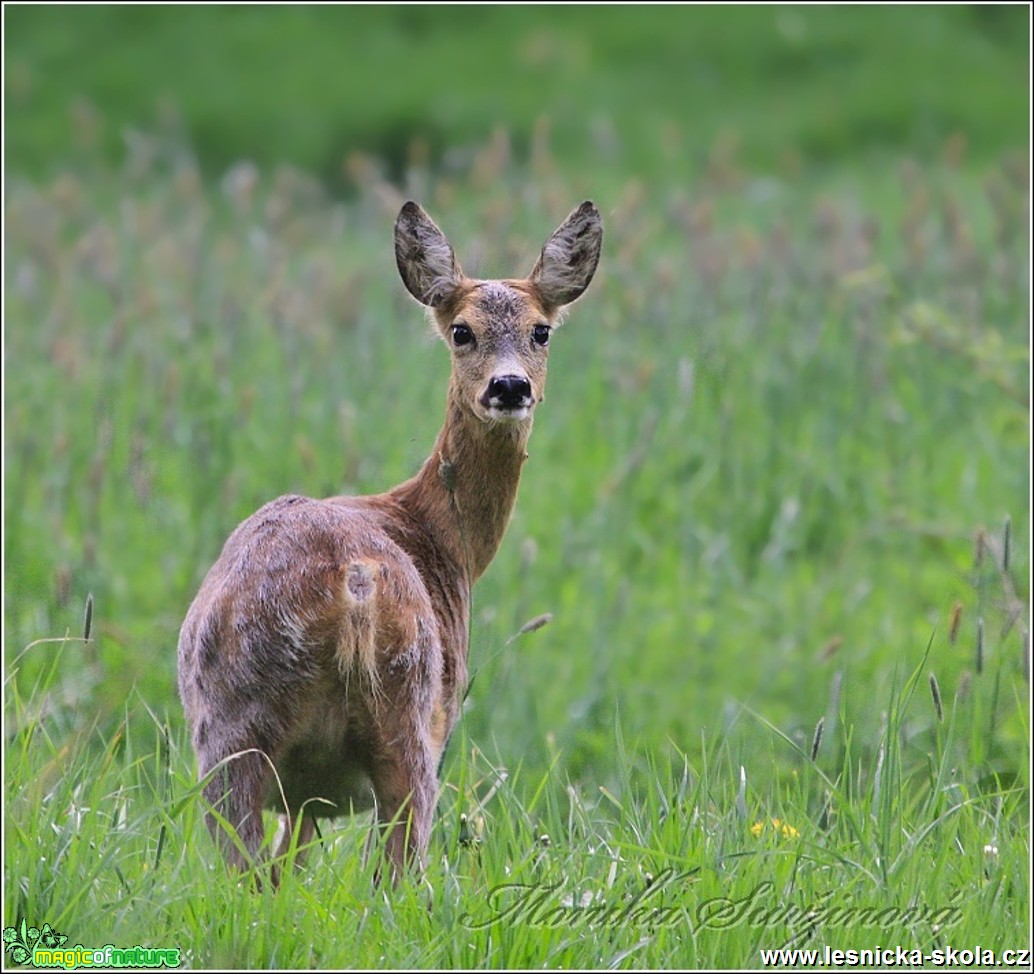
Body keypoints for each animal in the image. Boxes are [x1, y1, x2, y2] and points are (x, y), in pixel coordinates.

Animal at [174, 198, 603, 885]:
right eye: (461, 331)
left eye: (542, 331)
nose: (510, 387)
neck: (437, 536)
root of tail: (347, 583)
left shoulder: (306, 794)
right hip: (408, 713)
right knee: (393, 870)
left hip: (236, 731)